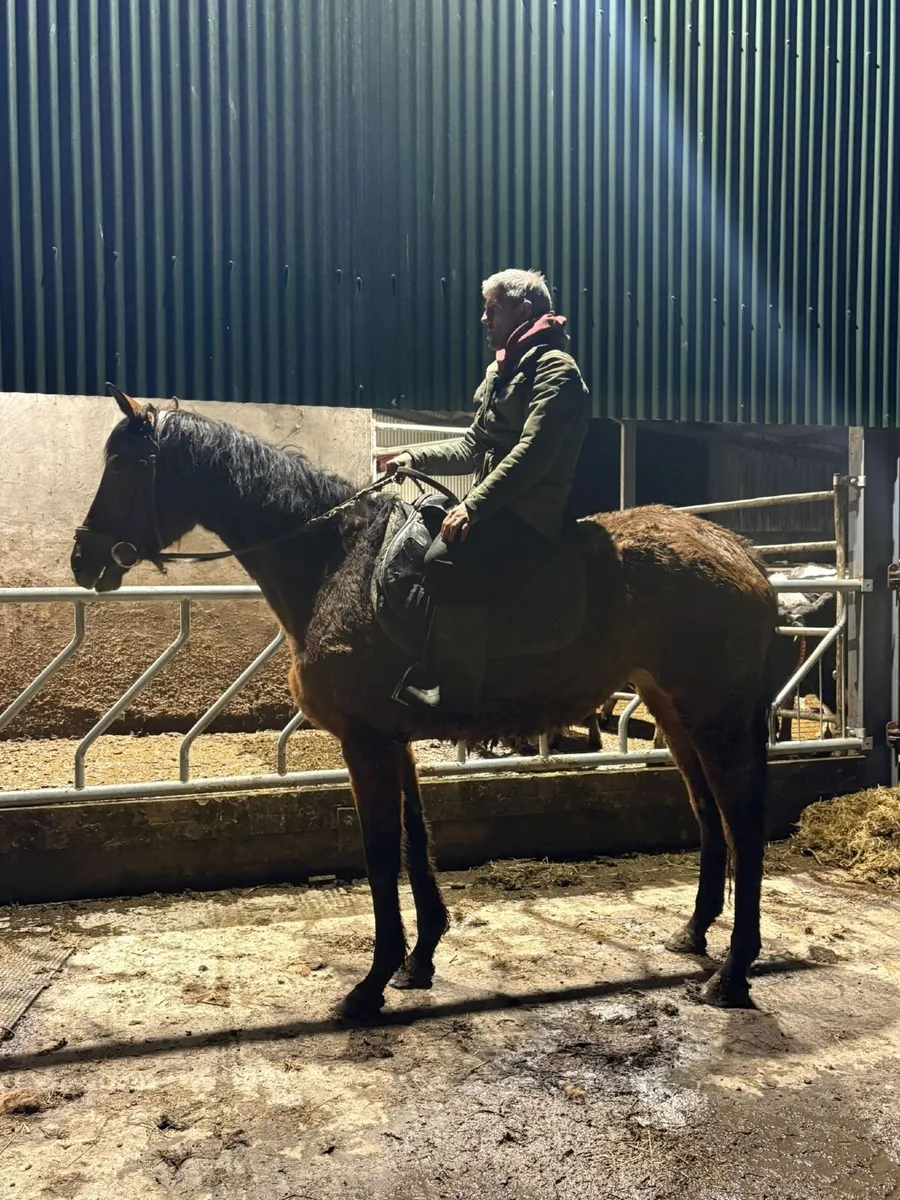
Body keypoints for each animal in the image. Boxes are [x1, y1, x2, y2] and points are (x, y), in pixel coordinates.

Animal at [72, 387, 779, 1018]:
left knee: (742, 818)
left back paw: (732, 973)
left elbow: (382, 852)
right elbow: (417, 838)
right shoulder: (394, 739)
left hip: (713, 715)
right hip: (674, 711)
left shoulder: (364, 742)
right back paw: (696, 934)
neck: (337, 563)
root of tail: (739, 552)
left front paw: (370, 985)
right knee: (708, 810)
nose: (83, 560)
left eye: (125, 467)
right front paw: (419, 960)